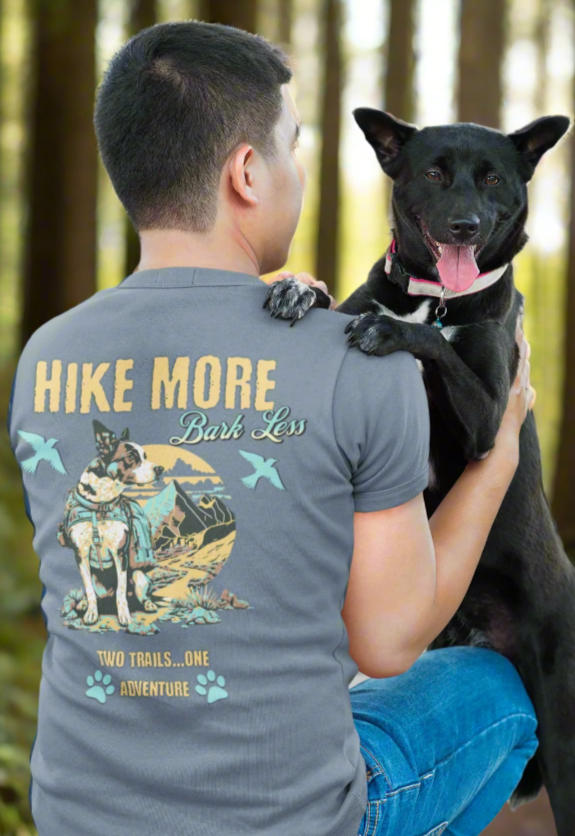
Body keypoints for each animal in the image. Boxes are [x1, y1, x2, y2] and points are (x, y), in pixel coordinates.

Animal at [58, 422, 164, 624]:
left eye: (145, 456)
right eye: (131, 456)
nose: (160, 469)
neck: (100, 506)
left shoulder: (119, 554)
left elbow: (121, 592)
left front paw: (125, 616)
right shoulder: (81, 554)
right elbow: (89, 590)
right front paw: (91, 613)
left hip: (139, 577)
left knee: (140, 595)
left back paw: (148, 604)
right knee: (93, 592)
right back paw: (84, 604)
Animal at [266, 111, 575, 836]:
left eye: (491, 179)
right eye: (434, 172)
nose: (464, 225)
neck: (433, 300)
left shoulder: (491, 417)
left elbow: (435, 347)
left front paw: (393, 335)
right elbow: (335, 302)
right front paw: (297, 285)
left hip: (564, 727)